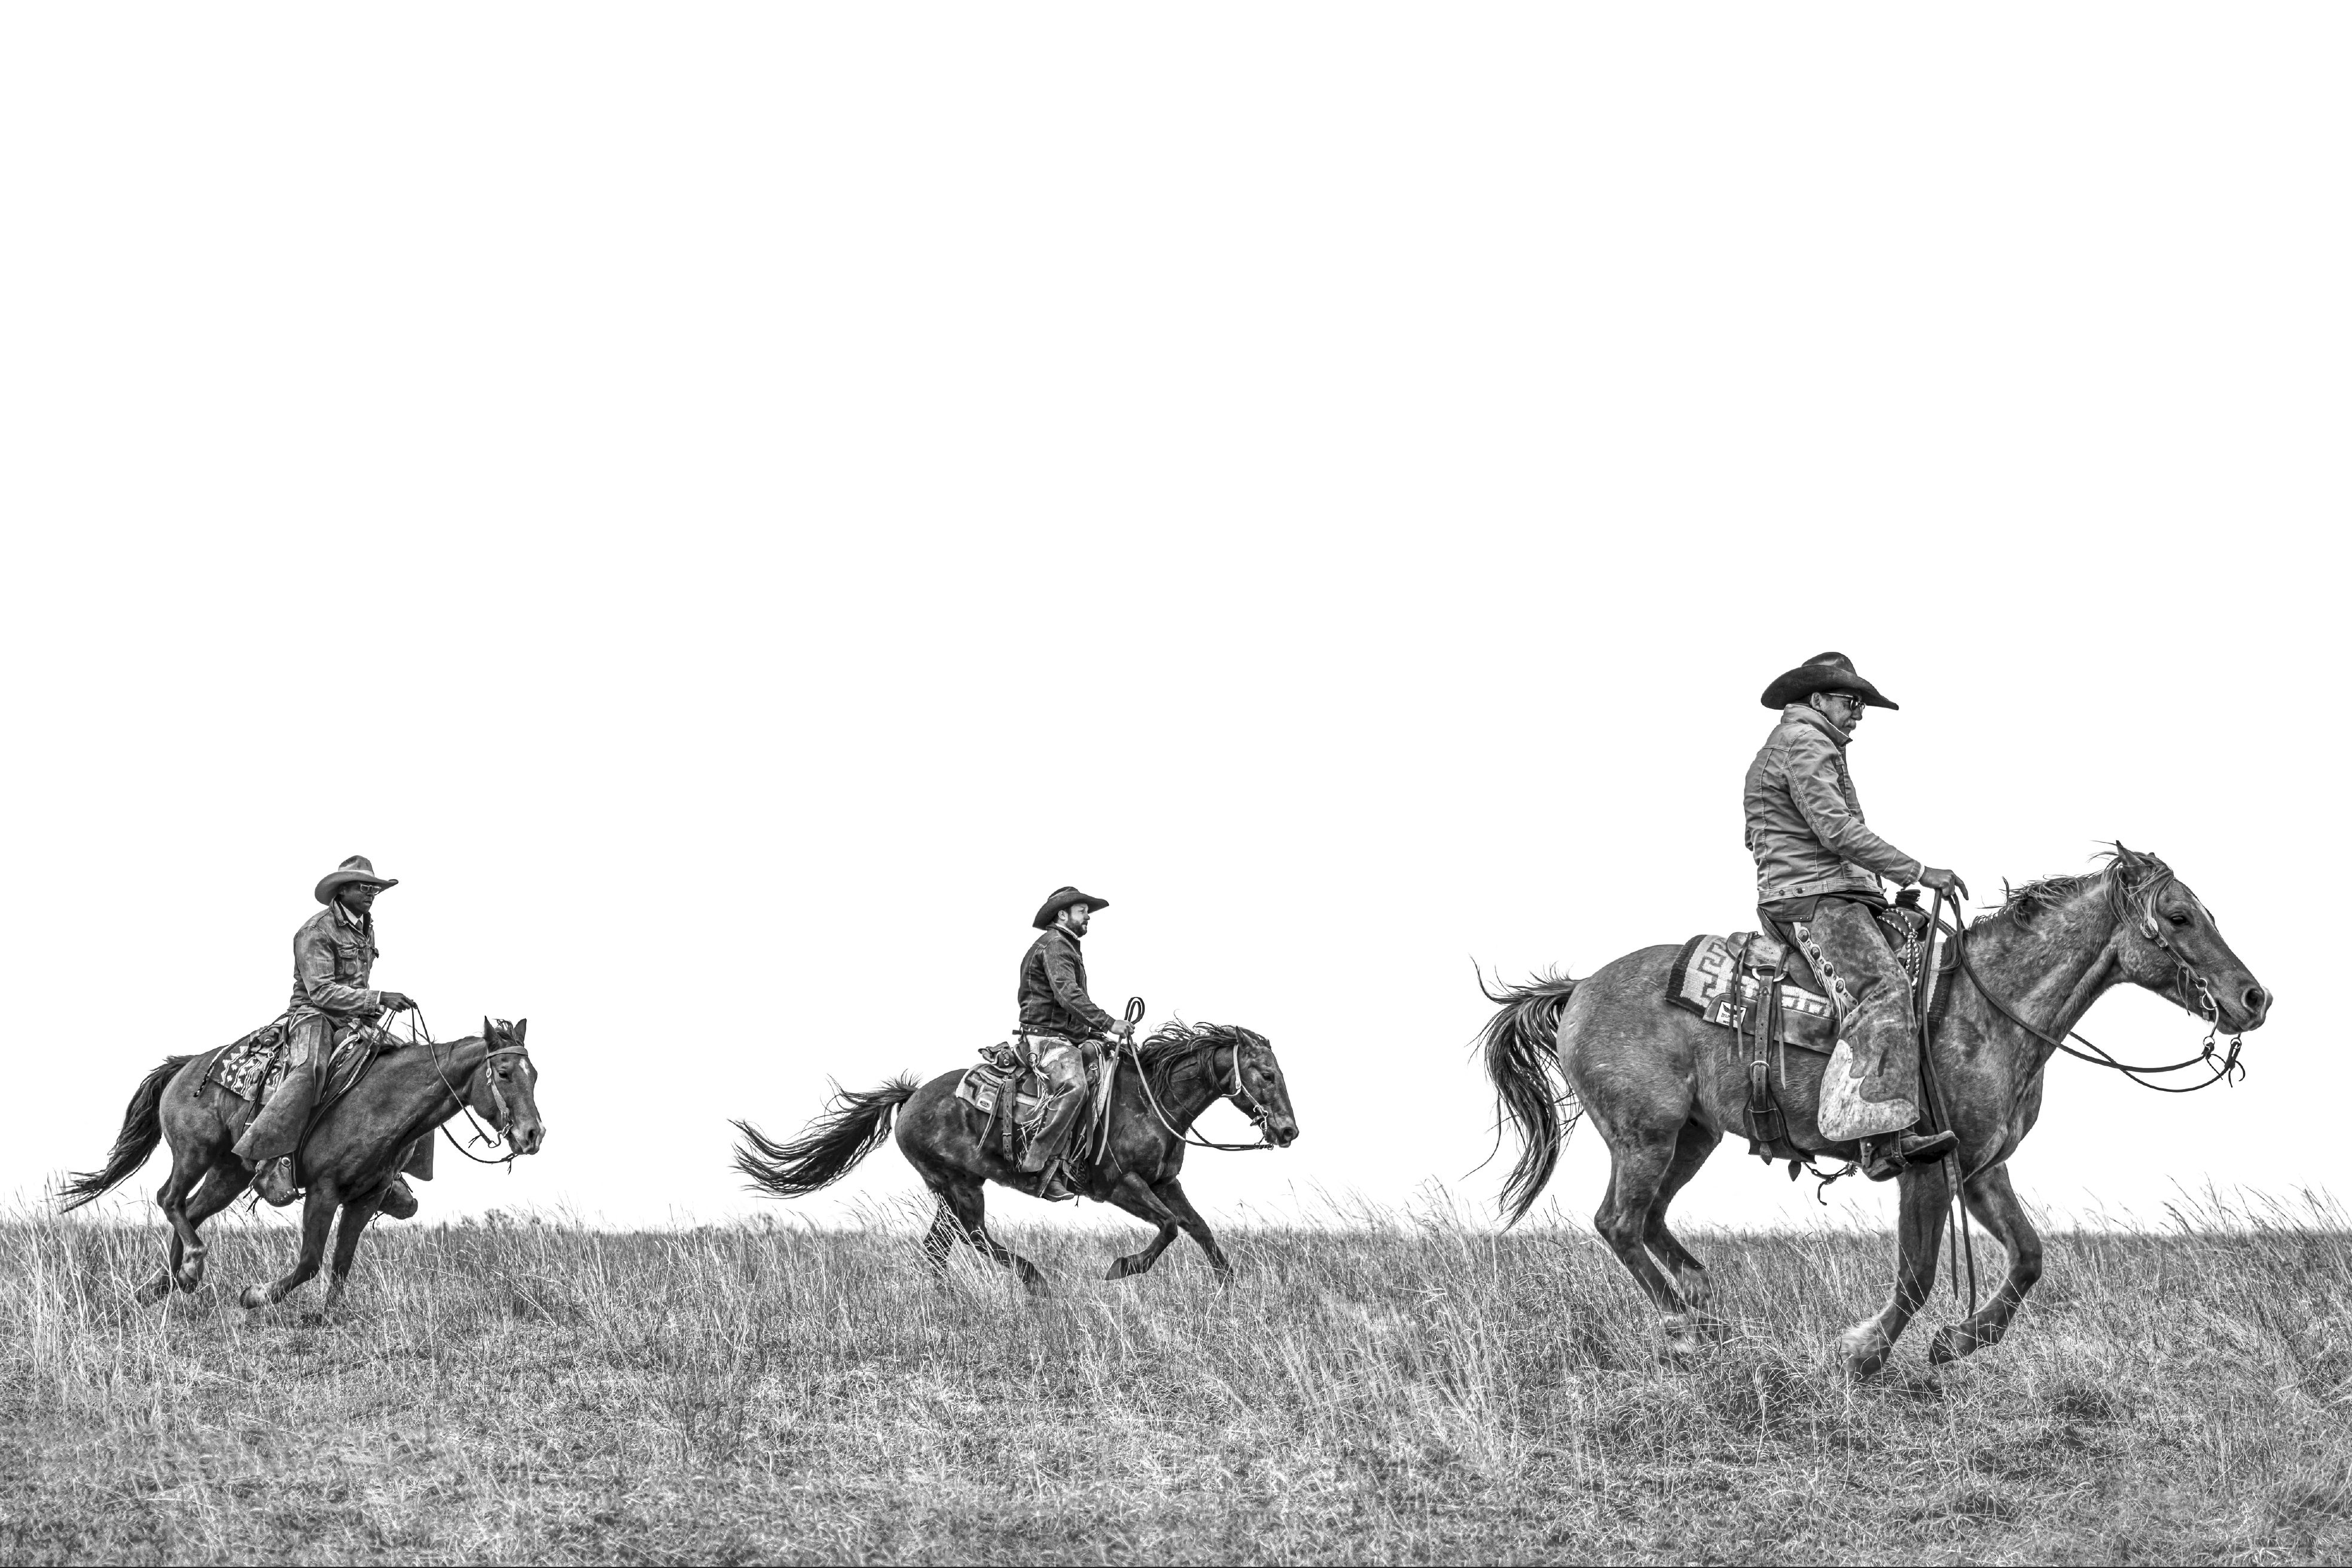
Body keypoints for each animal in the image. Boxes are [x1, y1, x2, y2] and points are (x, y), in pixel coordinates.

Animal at [62, 1020, 548, 1316]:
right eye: (505, 1072)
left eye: (535, 1074)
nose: (532, 1134)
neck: (382, 1102)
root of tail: (186, 1066)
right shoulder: (323, 1192)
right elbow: (311, 1262)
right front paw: (254, 1295)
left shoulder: (365, 1198)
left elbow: (341, 1264)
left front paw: (329, 1316)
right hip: (194, 1154)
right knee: (170, 1200)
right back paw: (191, 1267)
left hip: (230, 1172)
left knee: (191, 1211)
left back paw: (166, 1283)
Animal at [729, 1020, 1307, 1288]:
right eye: (1266, 1073)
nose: (1287, 1131)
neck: (1148, 1099)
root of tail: (910, 1097)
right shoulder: (1121, 1186)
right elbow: (1167, 1228)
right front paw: (1120, 1268)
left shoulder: (1165, 1183)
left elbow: (1198, 1228)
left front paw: (1229, 1287)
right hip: (958, 1187)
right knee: (974, 1239)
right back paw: (1036, 1282)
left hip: (954, 1190)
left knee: (939, 1247)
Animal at [1477, 851, 2267, 1382]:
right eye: (2178, 916)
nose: (2254, 998)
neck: (1987, 1009)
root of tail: (1580, 989)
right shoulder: (1927, 1166)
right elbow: (1916, 1273)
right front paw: (1862, 1353)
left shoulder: (1982, 1169)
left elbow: (2030, 1257)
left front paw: (1957, 1342)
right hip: (1645, 1137)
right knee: (1619, 1222)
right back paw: (1684, 1329)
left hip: (1692, 1139)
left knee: (1649, 1223)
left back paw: (1706, 1310)